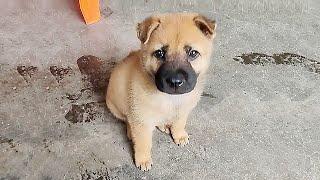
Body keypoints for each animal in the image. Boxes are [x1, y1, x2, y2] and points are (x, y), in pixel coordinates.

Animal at [106, 13, 216, 172]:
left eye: (193, 53)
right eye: (159, 53)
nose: (175, 82)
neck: (170, 99)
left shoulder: (184, 109)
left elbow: (179, 122)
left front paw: (179, 135)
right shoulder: (141, 119)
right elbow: (143, 142)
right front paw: (143, 159)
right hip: (116, 105)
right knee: (127, 119)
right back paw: (131, 132)